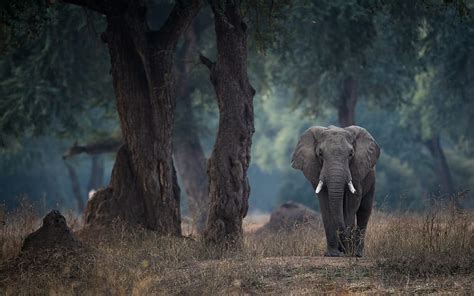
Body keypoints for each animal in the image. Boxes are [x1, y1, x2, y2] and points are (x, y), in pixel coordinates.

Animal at [290, 125, 380, 256]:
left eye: (351, 154)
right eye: (320, 154)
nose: (343, 248)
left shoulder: (357, 169)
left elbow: (352, 202)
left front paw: (347, 250)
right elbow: (325, 204)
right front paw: (333, 254)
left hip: (371, 177)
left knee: (364, 210)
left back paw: (357, 253)